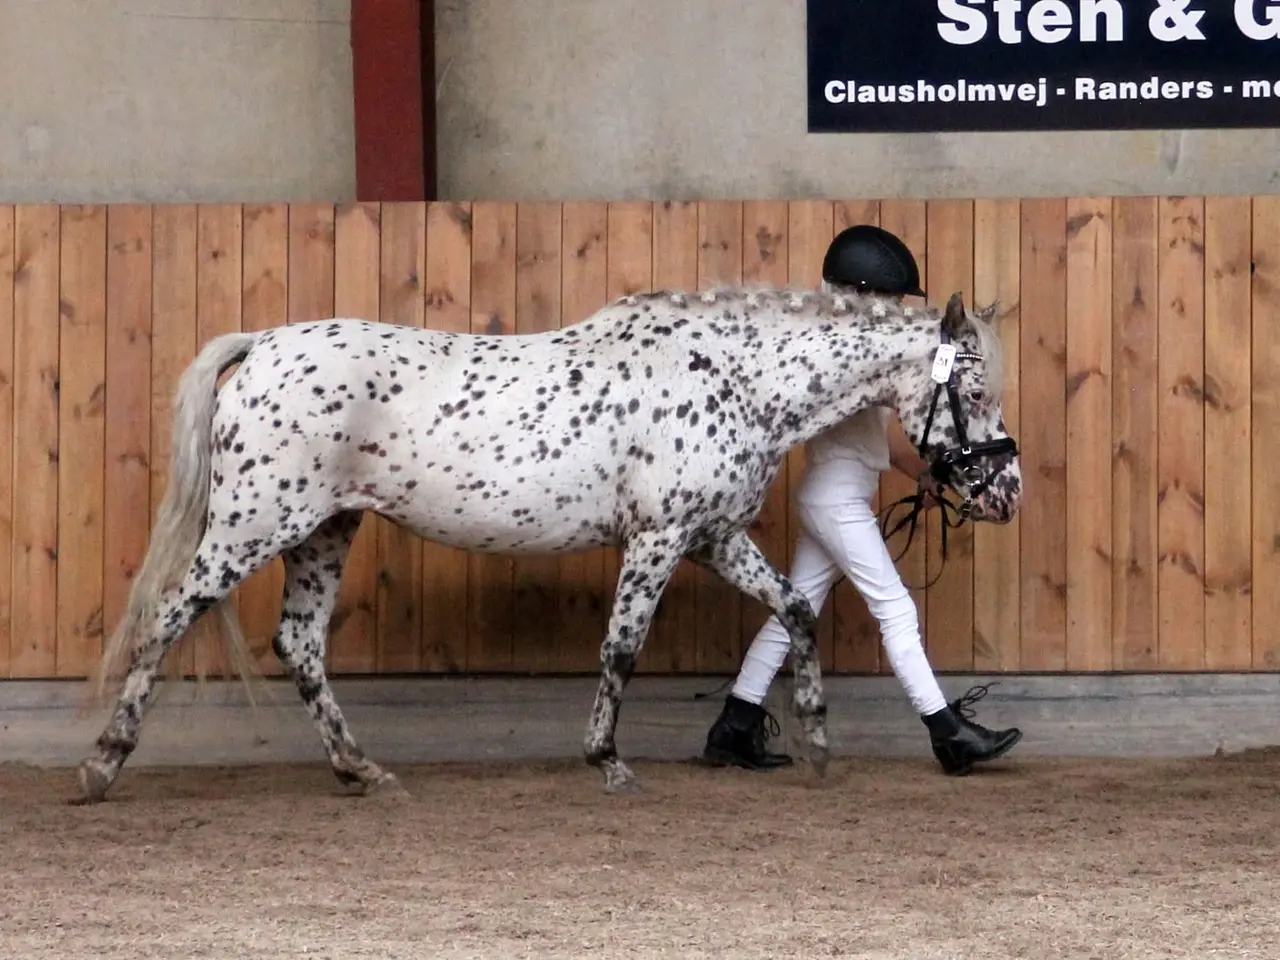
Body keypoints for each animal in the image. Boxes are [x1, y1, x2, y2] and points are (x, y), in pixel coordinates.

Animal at [77, 285, 1022, 803]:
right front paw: (609, 763)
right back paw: (101, 767)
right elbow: (621, 650)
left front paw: (818, 745)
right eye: (974, 391)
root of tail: (265, 344)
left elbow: (794, 609)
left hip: (324, 531)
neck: (736, 380)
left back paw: (362, 772)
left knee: (299, 644)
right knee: (165, 618)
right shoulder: (660, 537)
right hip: (254, 525)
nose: (1006, 493)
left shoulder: (713, 536)